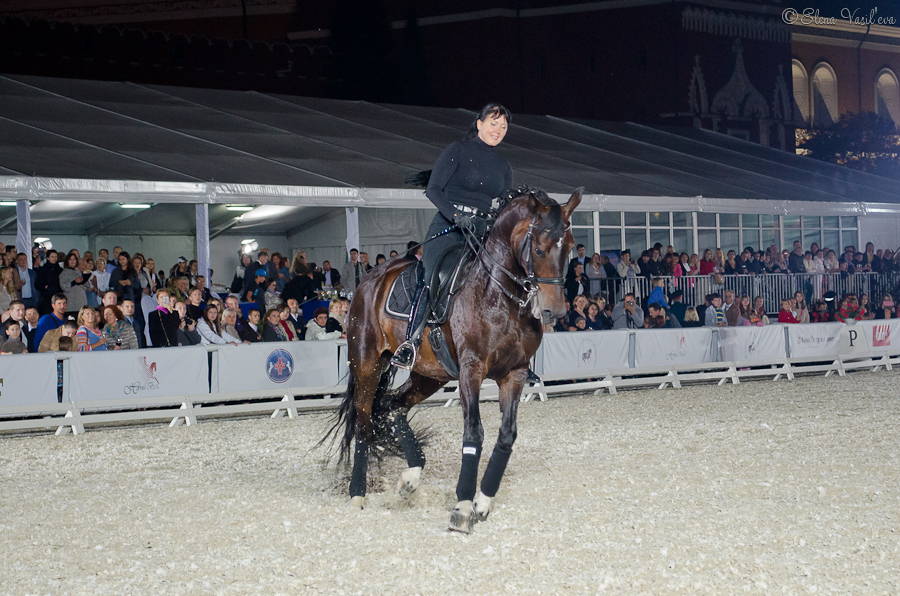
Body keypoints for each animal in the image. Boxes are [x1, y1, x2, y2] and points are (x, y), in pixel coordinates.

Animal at [326, 185, 580, 532]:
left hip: (430, 375)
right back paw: (357, 494)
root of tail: (368, 281)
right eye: (539, 250)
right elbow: (474, 433)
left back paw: (411, 477)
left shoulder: (513, 372)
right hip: (367, 365)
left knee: (393, 406)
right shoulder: (471, 370)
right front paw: (461, 507)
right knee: (364, 423)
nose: (556, 311)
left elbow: (506, 435)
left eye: (570, 248)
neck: (501, 296)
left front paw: (483, 501)